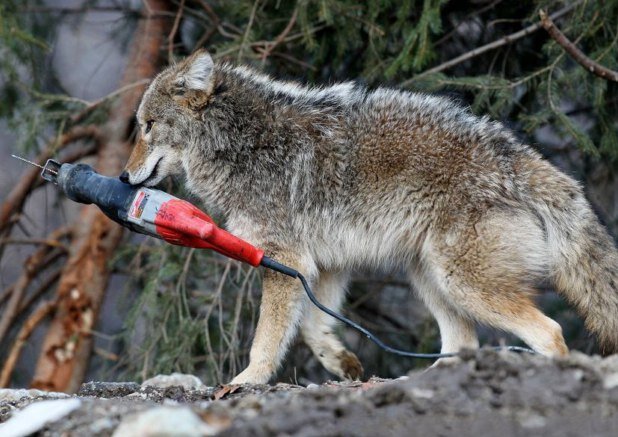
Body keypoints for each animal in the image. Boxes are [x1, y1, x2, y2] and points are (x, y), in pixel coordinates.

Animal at [120, 50, 616, 382]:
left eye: (147, 126)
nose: (124, 177)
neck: (242, 143)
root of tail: (518, 155)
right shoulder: (321, 267)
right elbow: (312, 330)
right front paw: (343, 363)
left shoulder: (286, 261)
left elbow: (267, 339)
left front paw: (245, 383)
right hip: (431, 280)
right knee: (463, 343)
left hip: (463, 284)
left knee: (550, 332)